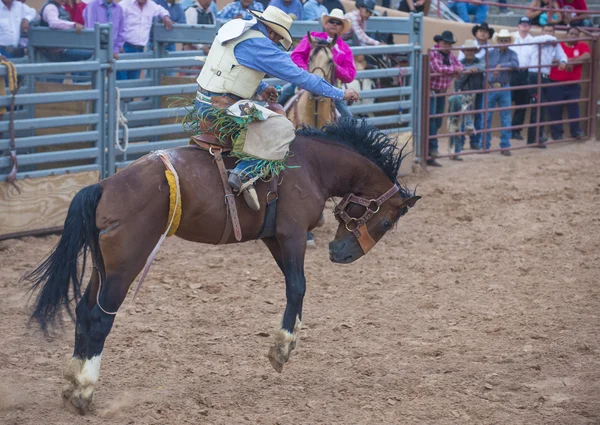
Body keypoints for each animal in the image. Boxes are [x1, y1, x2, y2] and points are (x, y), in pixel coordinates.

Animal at [25, 117, 420, 412]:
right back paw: (84, 390)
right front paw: (282, 348)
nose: (340, 253)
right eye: (385, 222)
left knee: (83, 309)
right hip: (126, 264)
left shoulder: (273, 237)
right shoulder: (291, 233)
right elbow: (298, 285)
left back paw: (71, 384)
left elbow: (295, 286)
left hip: (102, 265)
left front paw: (290, 338)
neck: (311, 165)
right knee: (99, 317)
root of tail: (105, 185)